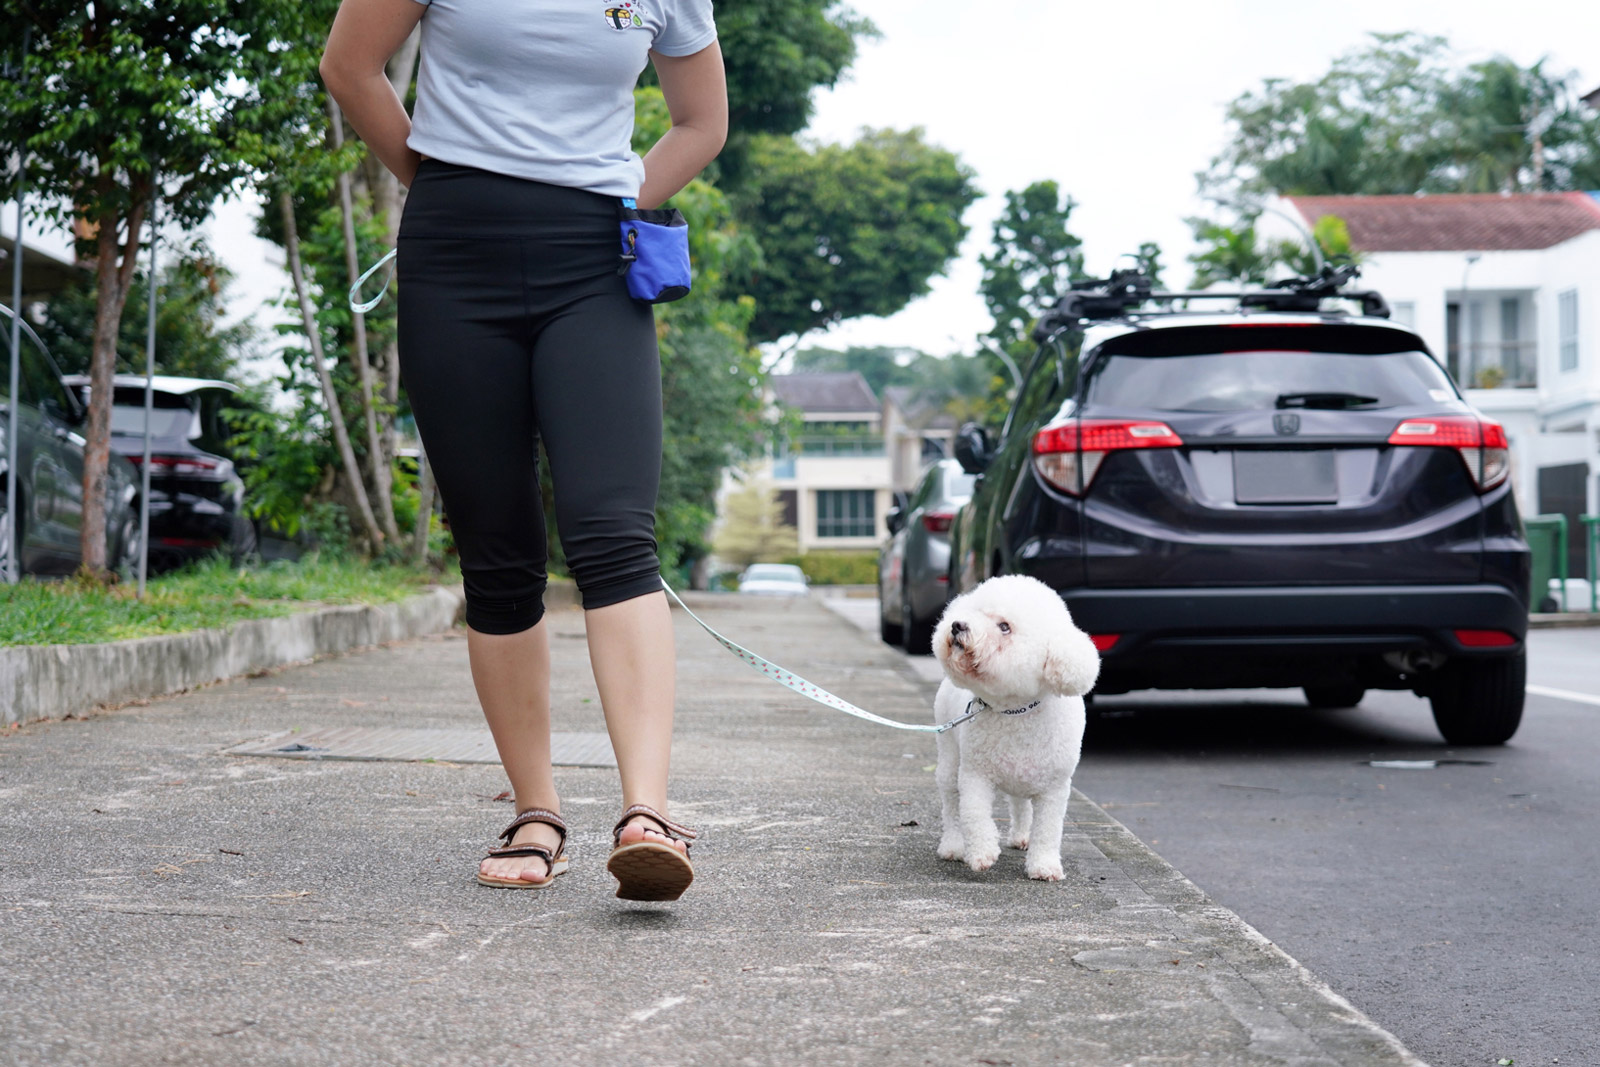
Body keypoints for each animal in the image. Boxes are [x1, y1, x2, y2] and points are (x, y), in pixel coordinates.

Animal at [934, 575, 1094, 883]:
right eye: (976, 611)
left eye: (1004, 627)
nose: (957, 625)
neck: (1015, 710)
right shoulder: (975, 774)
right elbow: (974, 814)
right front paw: (982, 854)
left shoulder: (1054, 787)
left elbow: (1048, 829)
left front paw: (1044, 866)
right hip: (949, 755)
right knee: (950, 803)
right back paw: (953, 846)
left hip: (1023, 775)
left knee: (1020, 805)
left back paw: (1022, 837)